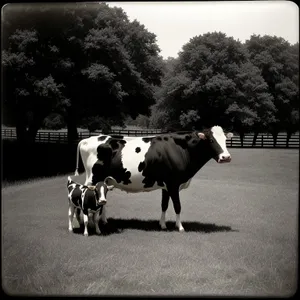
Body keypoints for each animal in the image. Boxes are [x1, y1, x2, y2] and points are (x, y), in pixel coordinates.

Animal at [74, 126, 233, 232]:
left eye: (226, 140)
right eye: (211, 140)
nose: (226, 157)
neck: (181, 149)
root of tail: (88, 139)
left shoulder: (166, 186)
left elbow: (164, 205)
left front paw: (162, 225)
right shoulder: (173, 184)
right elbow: (177, 206)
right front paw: (180, 227)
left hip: (104, 180)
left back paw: (103, 221)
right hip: (93, 178)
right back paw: (88, 223)